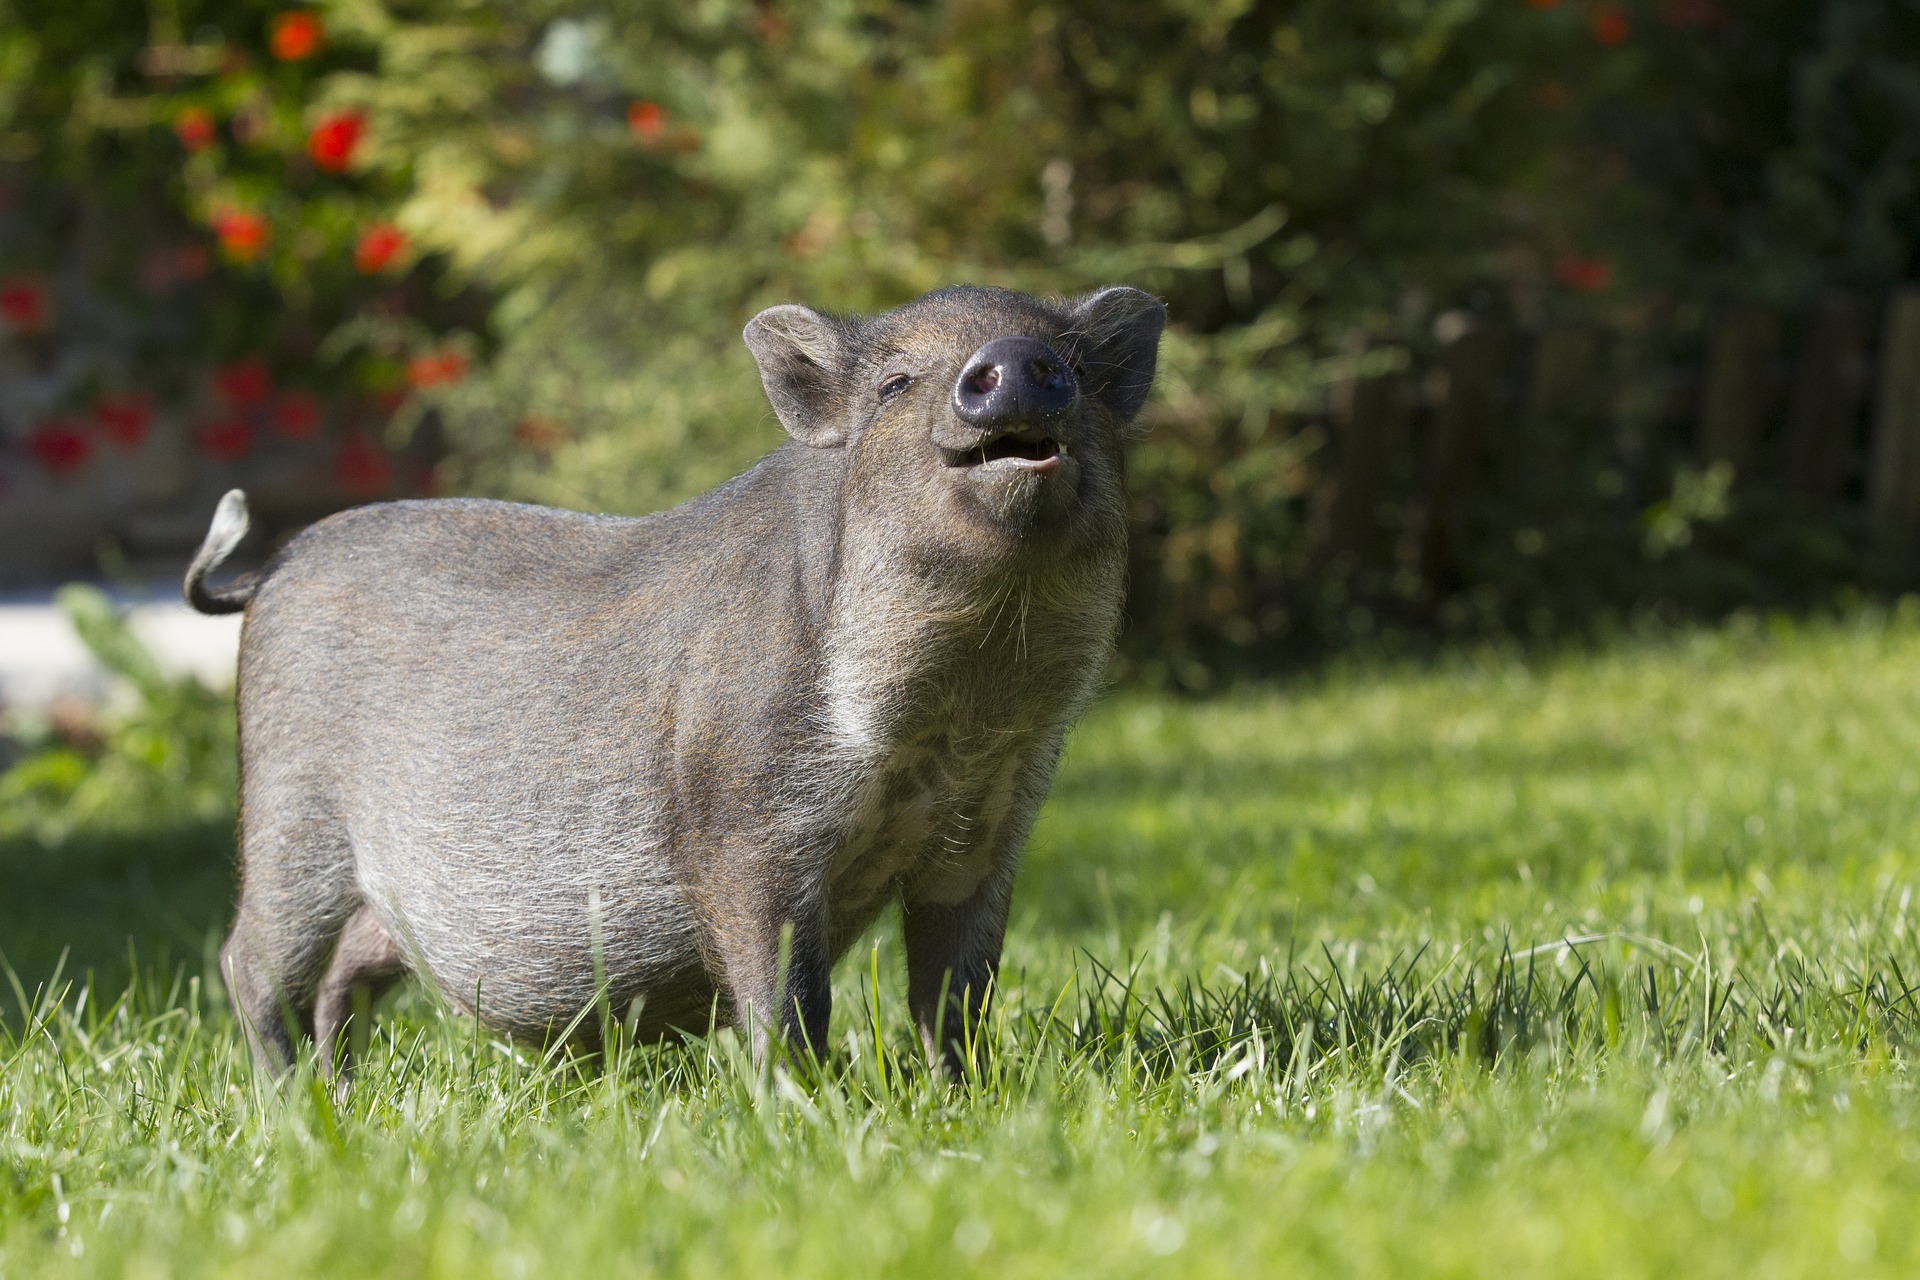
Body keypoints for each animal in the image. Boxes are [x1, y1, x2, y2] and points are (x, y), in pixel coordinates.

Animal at [186, 284, 1165, 1083]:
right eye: (894, 385)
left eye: (1074, 366)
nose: (1014, 361)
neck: (956, 719)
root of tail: (270, 570)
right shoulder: (744, 828)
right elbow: (787, 996)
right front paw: (805, 1107)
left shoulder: (988, 832)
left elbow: (956, 995)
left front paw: (961, 1100)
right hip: (289, 814)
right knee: (249, 962)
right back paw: (294, 1103)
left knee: (344, 975)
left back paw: (341, 1094)